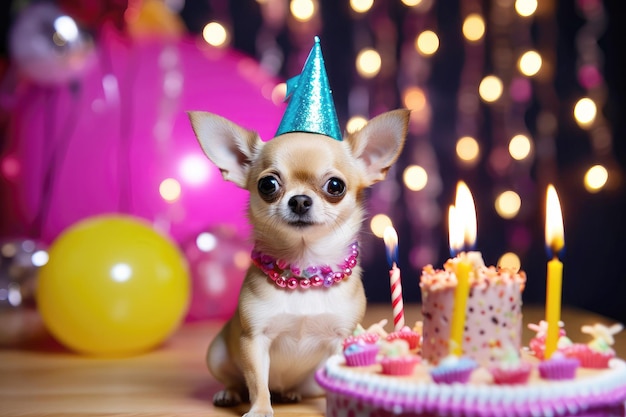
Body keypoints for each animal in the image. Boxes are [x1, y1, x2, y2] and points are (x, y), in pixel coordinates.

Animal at [185, 108, 410, 416]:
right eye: (267, 185)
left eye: (335, 186)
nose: (300, 200)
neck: (305, 269)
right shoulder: (254, 339)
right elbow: (257, 381)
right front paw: (260, 409)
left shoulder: (342, 338)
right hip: (217, 353)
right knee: (238, 382)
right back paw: (229, 393)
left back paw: (290, 393)